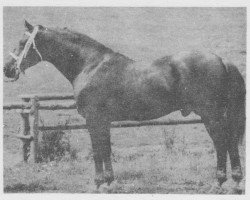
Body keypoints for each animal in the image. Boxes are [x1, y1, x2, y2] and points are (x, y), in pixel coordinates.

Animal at [4, 20, 246, 194]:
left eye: (22, 42)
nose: (7, 69)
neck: (90, 65)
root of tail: (222, 60)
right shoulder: (103, 121)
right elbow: (106, 149)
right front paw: (109, 183)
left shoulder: (94, 119)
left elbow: (97, 150)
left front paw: (98, 184)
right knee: (228, 141)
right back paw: (233, 182)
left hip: (211, 115)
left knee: (222, 142)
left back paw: (220, 183)